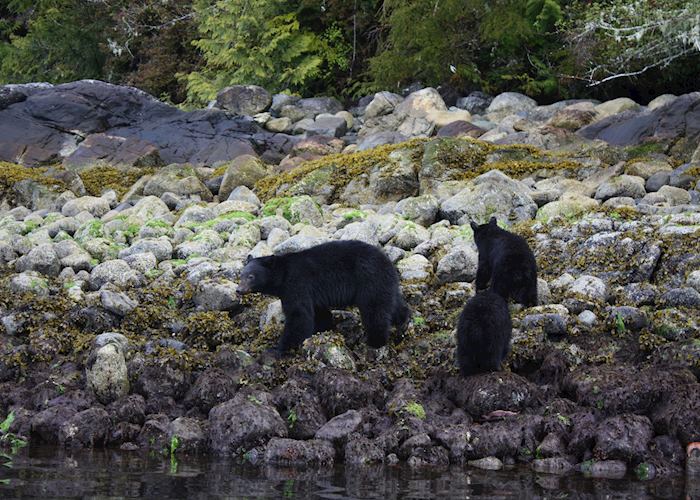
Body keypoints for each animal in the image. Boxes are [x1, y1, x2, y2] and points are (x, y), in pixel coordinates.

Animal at [236, 240, 410, 356]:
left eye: (251, 276)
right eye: (241, 275)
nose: (238, 290)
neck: (282, 275)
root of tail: (388, 261)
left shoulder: (296, 284)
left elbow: (299, 315)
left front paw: (277, 349)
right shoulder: (312, 293)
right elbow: (319, 312)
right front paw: (322, 329)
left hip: (369, 279)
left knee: (374, 310)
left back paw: (375, 342)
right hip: (385, 283)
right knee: (393, 304)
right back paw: (403, 323)